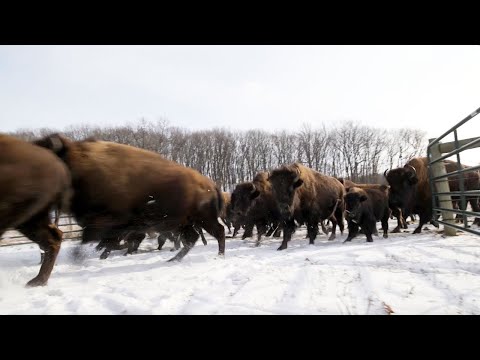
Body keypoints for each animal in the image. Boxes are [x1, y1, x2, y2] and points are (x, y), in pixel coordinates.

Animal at [34, 134, 226, 262]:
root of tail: (211, 184)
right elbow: (105, 242)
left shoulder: (106, 222)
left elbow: (95, 241)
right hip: (184, 223)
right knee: (191, 239)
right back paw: (174, 259)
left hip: (203, 219)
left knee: (218, 231)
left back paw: (219, 255)